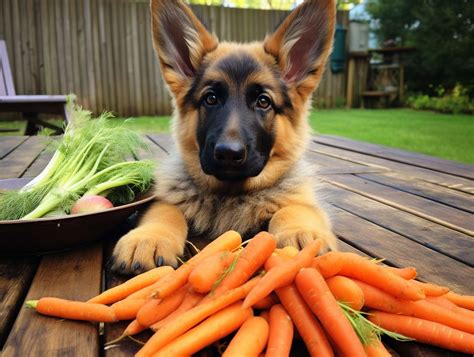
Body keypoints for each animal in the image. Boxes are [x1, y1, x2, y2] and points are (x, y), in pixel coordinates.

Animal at [112, 0, 336, 274]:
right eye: (211, 98)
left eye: (264, 102)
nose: (229, 153)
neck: (230, 193)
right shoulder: (167, 199)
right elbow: (165, 209)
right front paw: (149, 237)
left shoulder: (303, 201)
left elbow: (293, 209)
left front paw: (301, 232)